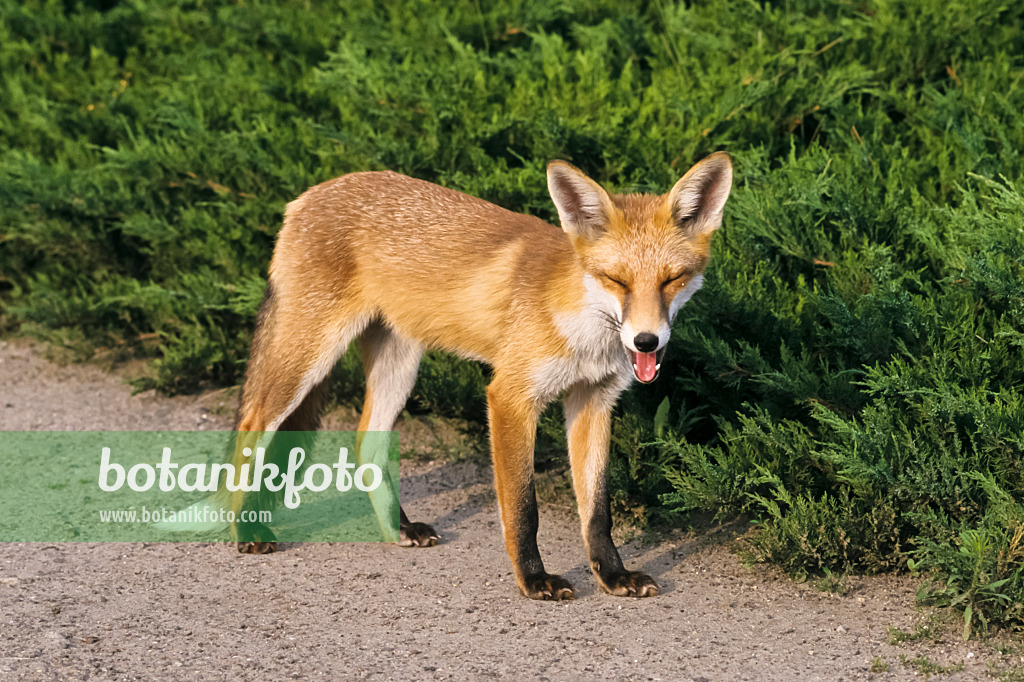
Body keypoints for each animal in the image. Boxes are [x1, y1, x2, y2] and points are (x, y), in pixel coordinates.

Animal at [229, 151, 733, 598]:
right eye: (617, 280)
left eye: (672, 279)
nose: (646, 341)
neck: (582, 331)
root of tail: (311, 193)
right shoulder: (510, 397)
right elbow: (523, 509)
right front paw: (534, 581)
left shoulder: (593, 399)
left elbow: (597, 510)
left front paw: (613, 576)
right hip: (308, 357)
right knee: (250, 426)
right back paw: (245, 530)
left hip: (400, 362)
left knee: (365, 440)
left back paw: (397, 529)